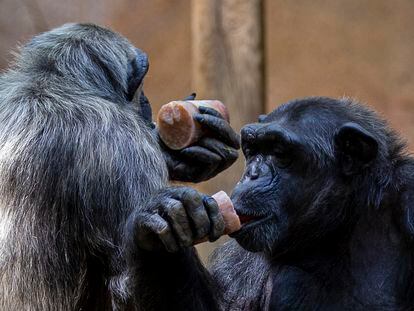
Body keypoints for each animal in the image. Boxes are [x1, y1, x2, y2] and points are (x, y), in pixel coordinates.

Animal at [132, 96, 414, 310]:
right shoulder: (242, 262)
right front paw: (170, 215)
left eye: (279, 153)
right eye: (253, 150)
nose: (252, 174)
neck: (338, 228)